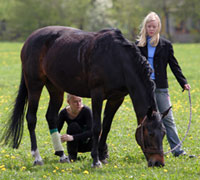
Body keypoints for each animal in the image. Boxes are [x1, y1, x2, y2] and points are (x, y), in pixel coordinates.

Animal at [1, 26, 167, 167]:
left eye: (164, 133)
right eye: (150, 133)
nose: (158, 163)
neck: (118, 60)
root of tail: (30, 39)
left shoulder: (116, 98)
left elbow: (107, 126)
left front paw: (102, 155)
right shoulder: (97, 94)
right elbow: (97, 127)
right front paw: (95, 160)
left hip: (55, 87)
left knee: (51, 117)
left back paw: (62, 155)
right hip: (34, 84)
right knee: (31, 118)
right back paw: (37, 157)